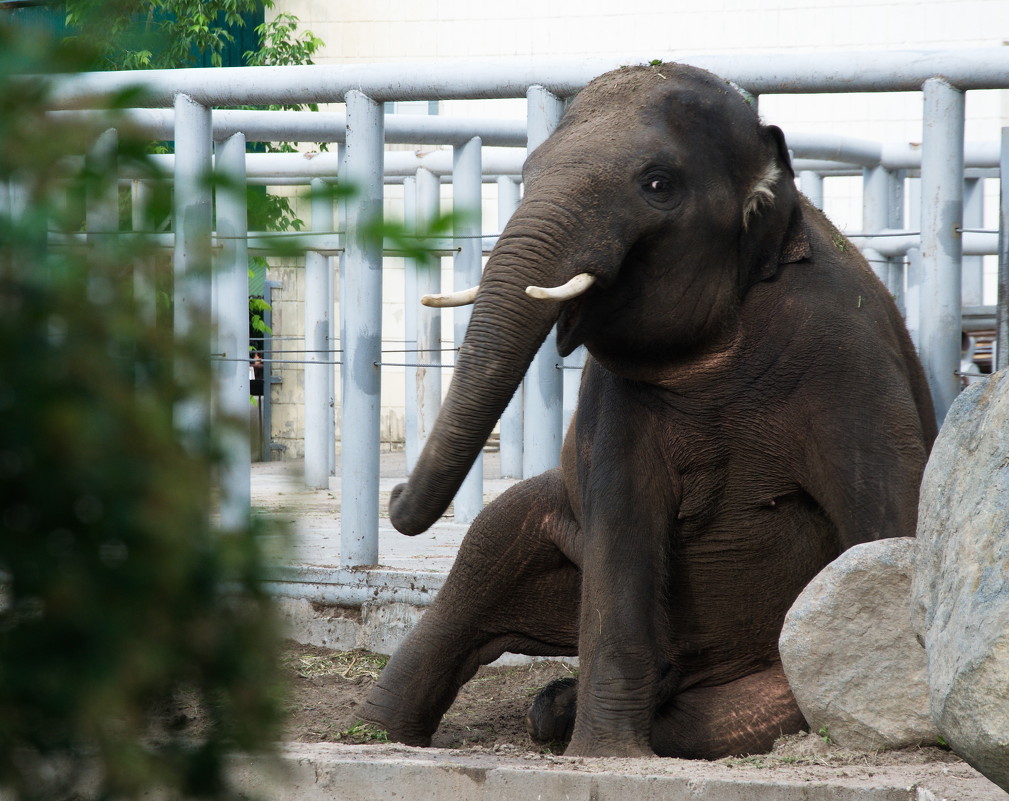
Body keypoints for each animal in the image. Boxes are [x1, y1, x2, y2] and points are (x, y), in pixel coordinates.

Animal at [359, 60, 932, 754]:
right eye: (527, 174)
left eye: (657, 185)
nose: (392, 495)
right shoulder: (615, 403)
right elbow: (622, 522)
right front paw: (605, 754)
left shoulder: (851, 362)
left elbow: (887, 519)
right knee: (492, 543)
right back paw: (390, 734)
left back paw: (568, 707)